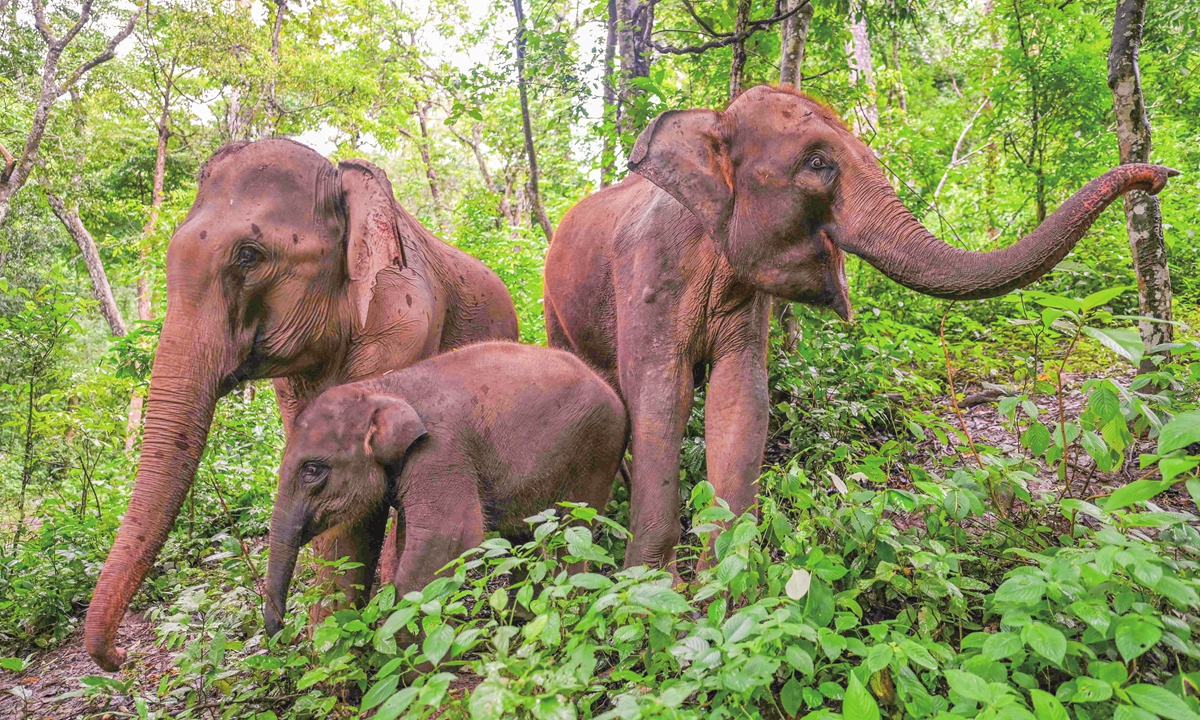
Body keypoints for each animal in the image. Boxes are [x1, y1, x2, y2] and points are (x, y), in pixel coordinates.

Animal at [262, 341, 628, 635]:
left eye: (312, 471)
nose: (282, 632)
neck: (382, 387)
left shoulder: (441, 452)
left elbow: (447, 540)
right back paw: (525, 617)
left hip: (597, 450)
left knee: (573, 531)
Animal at [542, 84, 1177, 571]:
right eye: (818, 164)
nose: (1161, 175)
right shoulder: (647, 275)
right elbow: (660, 397)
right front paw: (649, 594)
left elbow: (741, 397)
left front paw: (724, 586)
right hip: (556, 304)